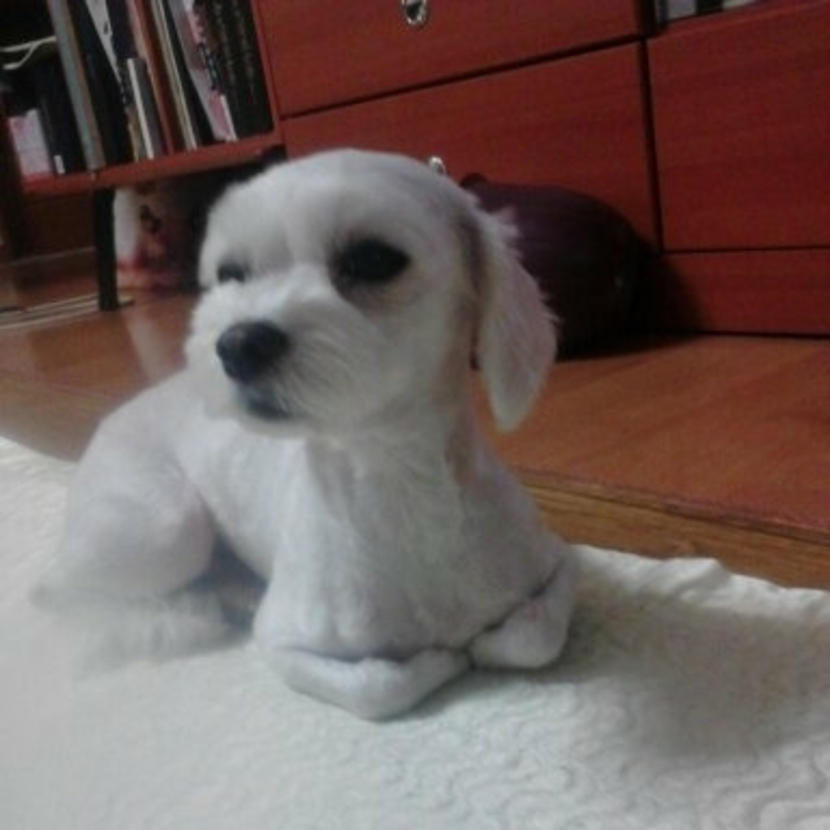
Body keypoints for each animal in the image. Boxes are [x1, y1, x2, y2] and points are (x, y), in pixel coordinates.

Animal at [37, 149, 578, 719]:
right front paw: (439, 660)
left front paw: (493, 640)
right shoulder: (282, 643)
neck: (397, 481)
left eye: (373, 260)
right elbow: (379, 686)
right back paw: (189, 610)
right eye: (231, 274)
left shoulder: (556, 559)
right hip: (167, 530)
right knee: (55, 588)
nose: (238, 343)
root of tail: (116, 411)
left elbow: (534, 639)